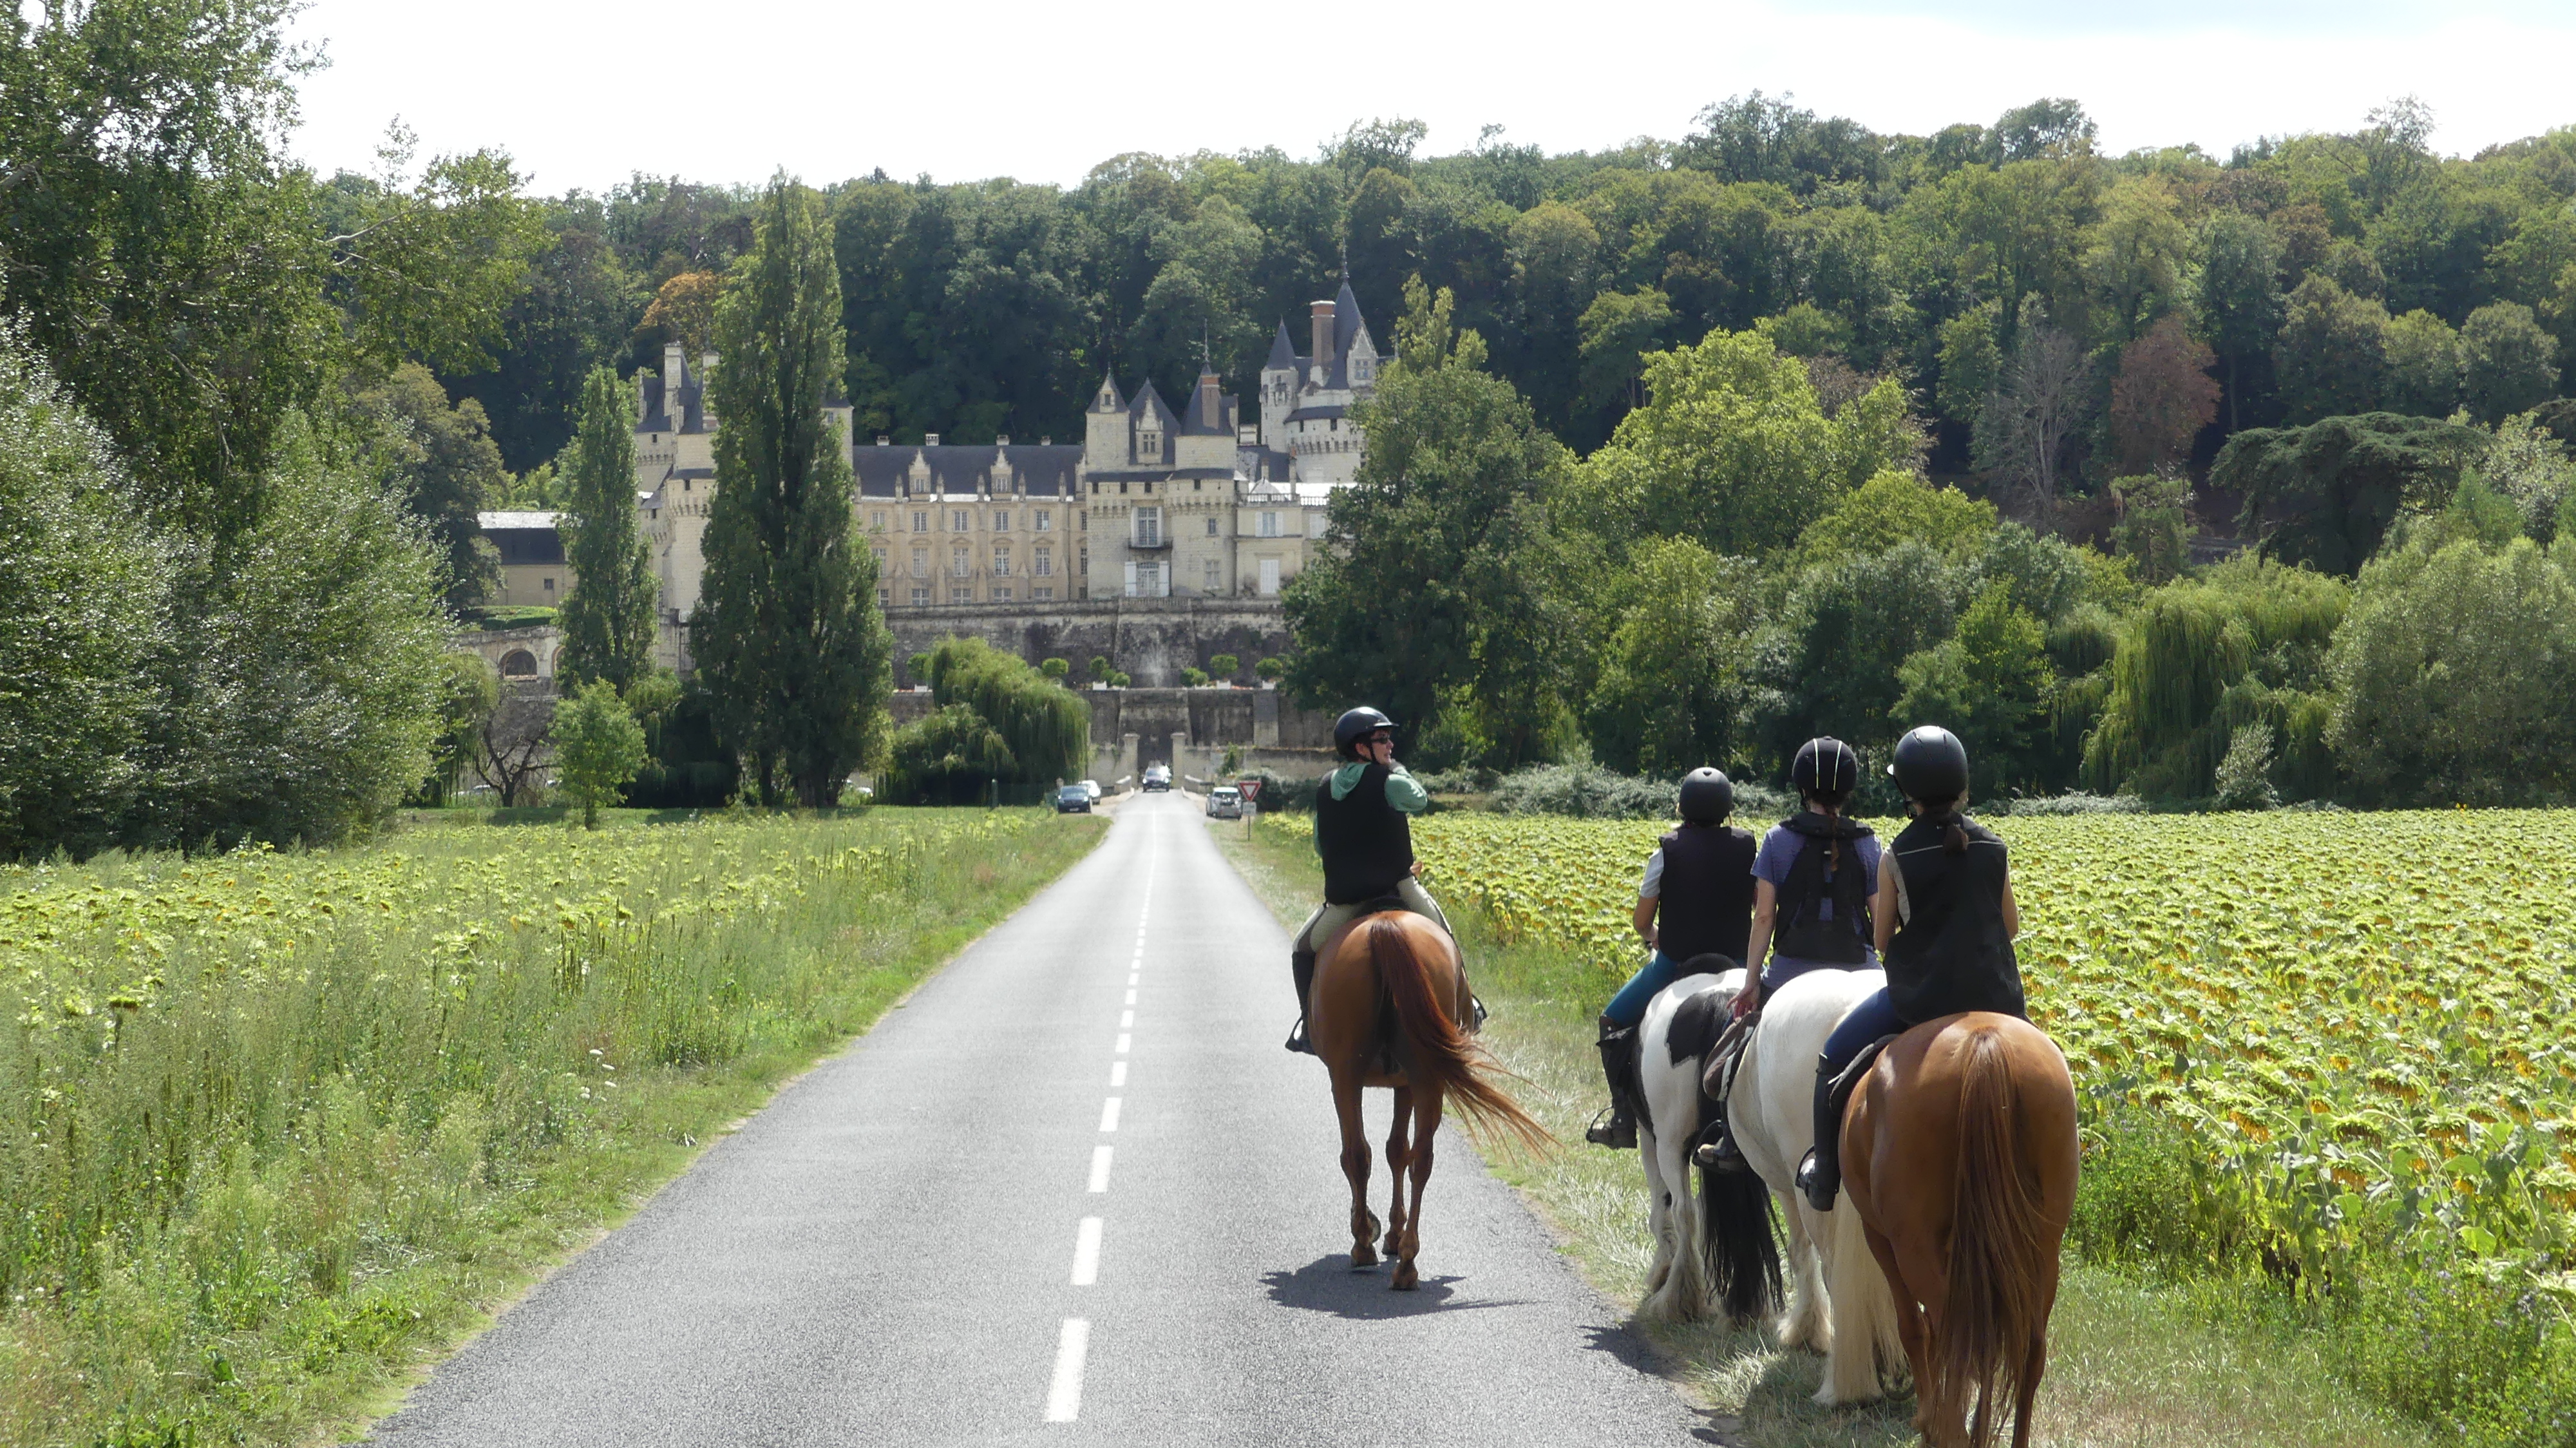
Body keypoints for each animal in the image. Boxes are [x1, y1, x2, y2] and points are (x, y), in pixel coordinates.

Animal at [1319, 907, 1535, 1278]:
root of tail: (1385, 925)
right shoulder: (1406, 1082)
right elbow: (1397, 1151)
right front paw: (1393, 1233)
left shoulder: (1391, 1083)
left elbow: (1387, 1151)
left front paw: (1383, 1232)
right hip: (1422, 1076)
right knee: (1419, 1158)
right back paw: (1406, 1261)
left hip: (1349, 1077)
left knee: (1357, 1154)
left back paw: (1364, 1244)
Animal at [1844, 1015, 2081, 1443]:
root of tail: (1984, 1042)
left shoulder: (1880, 1239)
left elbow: (1913, 1327)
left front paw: (1926, 1418)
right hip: (2043, 1251)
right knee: (2026, 1350)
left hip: (1914, 1249)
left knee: (1955, 1339)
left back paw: (1944, 1429)